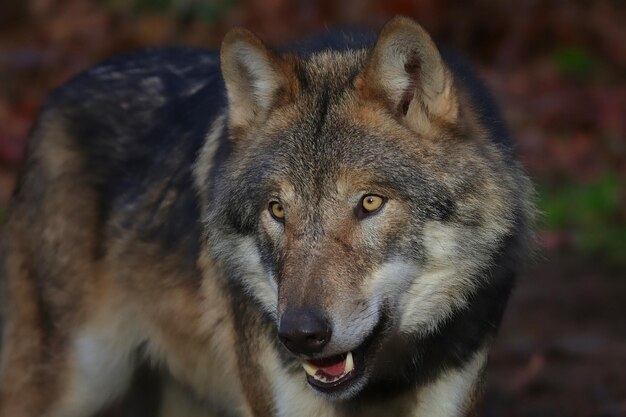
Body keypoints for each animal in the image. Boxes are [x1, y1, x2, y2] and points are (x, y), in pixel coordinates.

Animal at [0, 16, 532, 416]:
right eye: (277, 210)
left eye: (369, 203)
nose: (299, 335)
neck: (380, 387)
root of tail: (57, 93)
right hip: (76, 381)